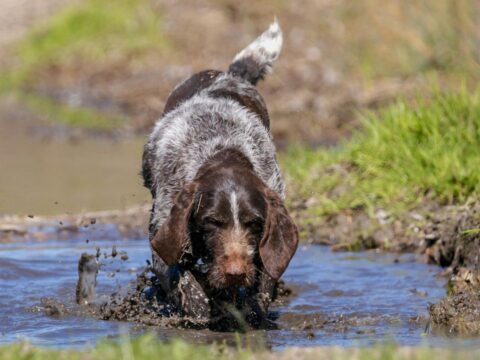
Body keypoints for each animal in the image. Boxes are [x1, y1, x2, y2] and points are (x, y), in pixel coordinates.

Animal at [142, 21, 298, 328]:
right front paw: (200, 313)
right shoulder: (164, 231)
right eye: (213, 221)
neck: (222, 151)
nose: (235, 272)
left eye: (254, 223)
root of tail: (229, 75)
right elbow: (185, 281)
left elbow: (262, 283)